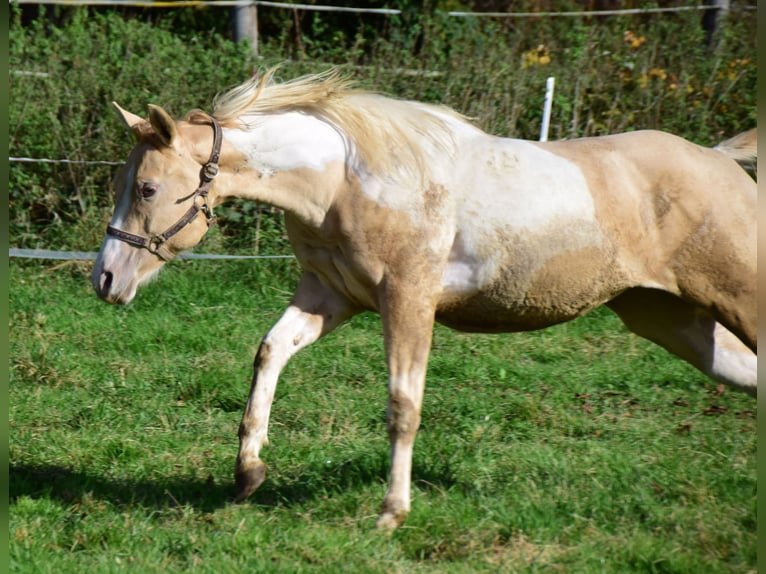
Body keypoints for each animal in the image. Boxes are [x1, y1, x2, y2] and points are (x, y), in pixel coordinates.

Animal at [93, 67, 760, 532]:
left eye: (147, 187)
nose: (103, 279)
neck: (347, 180)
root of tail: (721, 160)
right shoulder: (330, 298)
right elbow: (269, 352)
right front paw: (248, 472)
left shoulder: (408, 301)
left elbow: (403, 404)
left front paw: (392, 512)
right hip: (673, 322)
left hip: (736, 303)